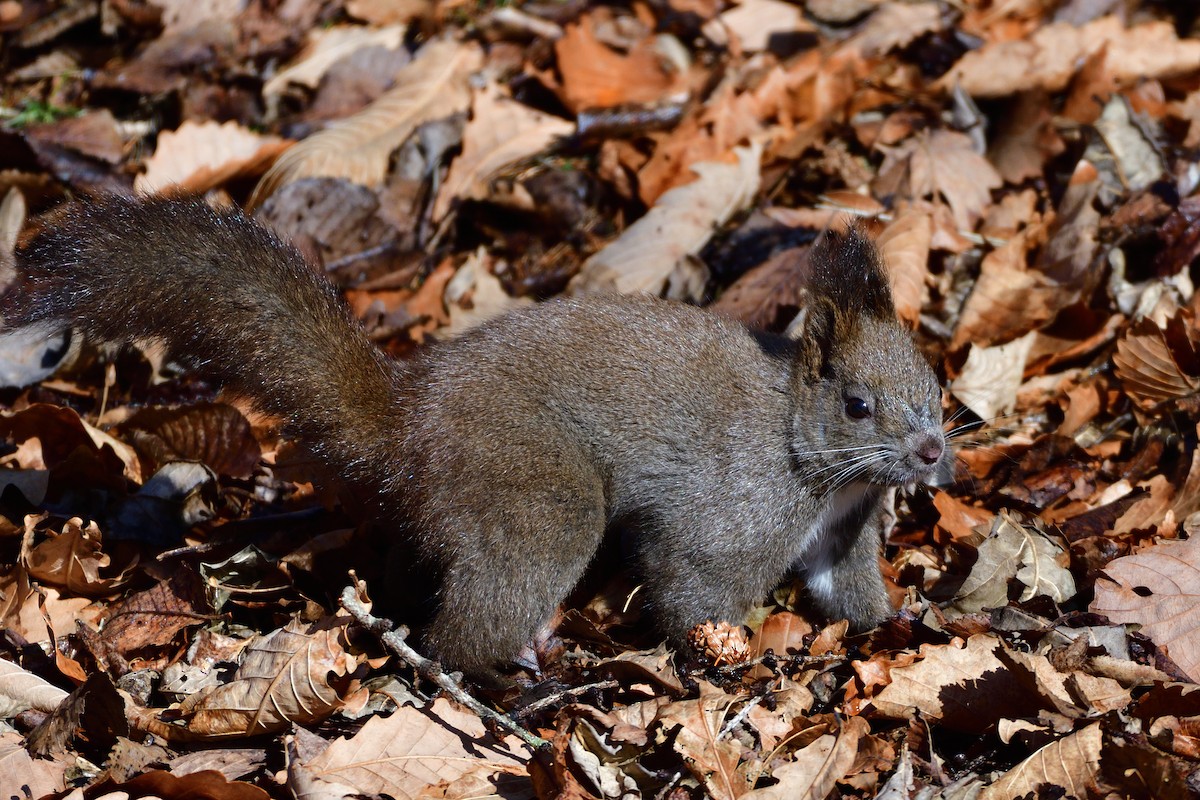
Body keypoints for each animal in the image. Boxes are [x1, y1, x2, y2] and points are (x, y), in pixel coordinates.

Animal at [2, 196, 946, 683]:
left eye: (935, 386)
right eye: (857, 405)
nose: (935, 452)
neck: (805, 447)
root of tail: (408, 427)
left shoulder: (842, 532)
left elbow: (847, 592)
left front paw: (903, 620)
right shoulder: (734, 510)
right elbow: (692, 588)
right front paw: (726, 658)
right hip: (537, 498)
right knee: (450, 636)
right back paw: (502, 679)